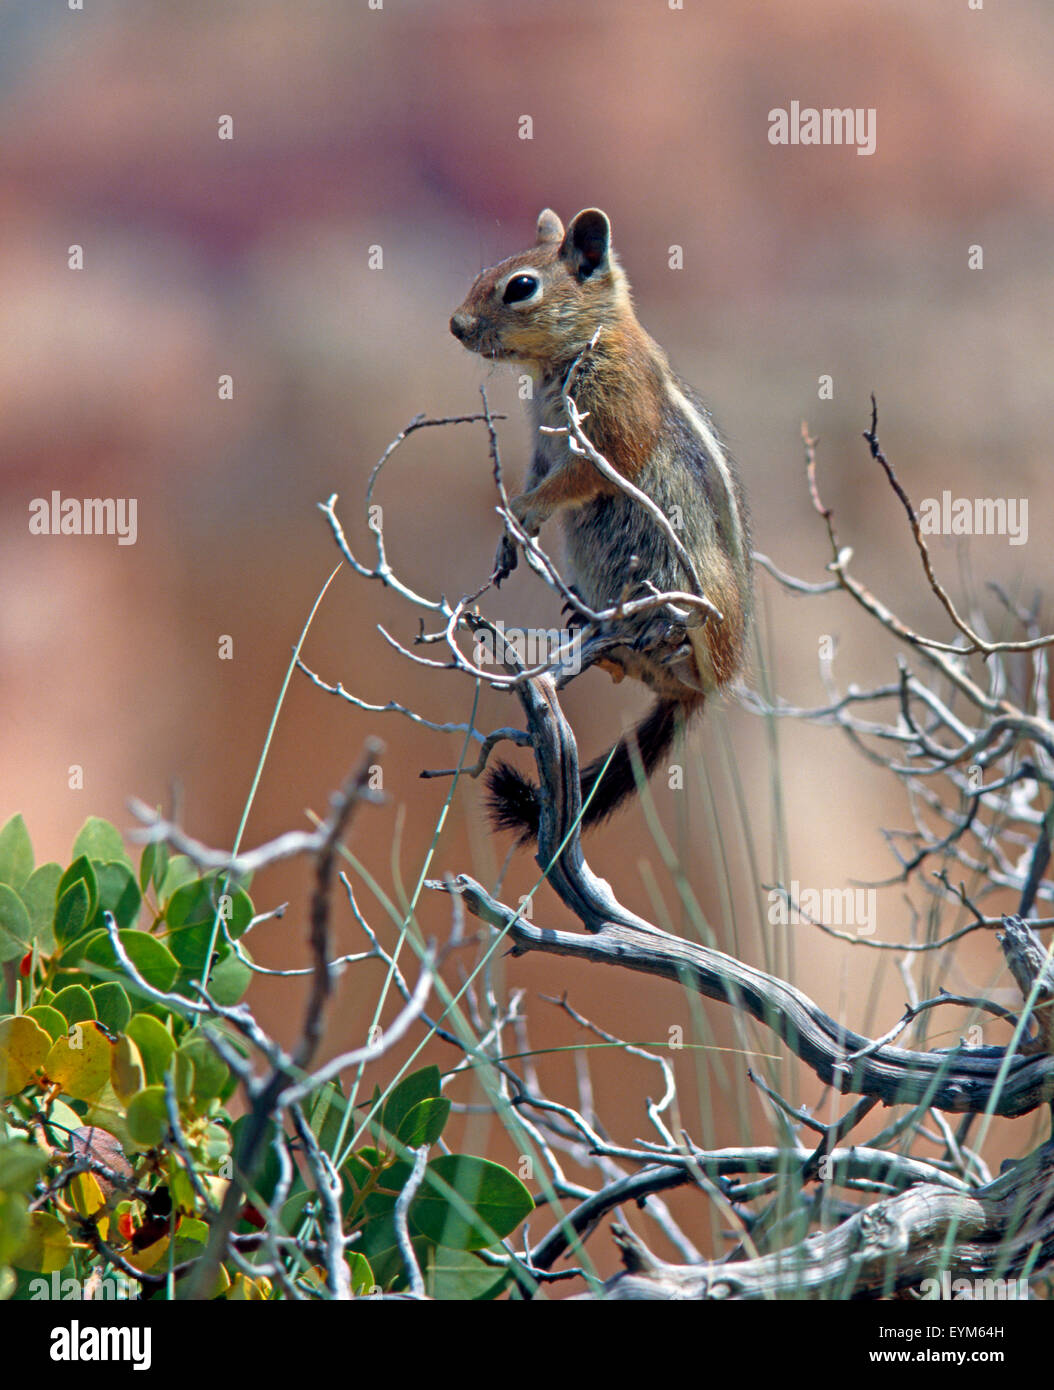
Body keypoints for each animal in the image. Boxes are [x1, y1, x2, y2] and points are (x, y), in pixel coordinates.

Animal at [450, 204, 756, 834]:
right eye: (487, 271)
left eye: (520, 287)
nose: (456, 325)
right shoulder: (544, 444)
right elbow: (541, 474)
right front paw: (513, 535)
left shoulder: (608, 425)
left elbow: (575, 480)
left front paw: (523, 512)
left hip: (700, 593)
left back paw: (668, 639)